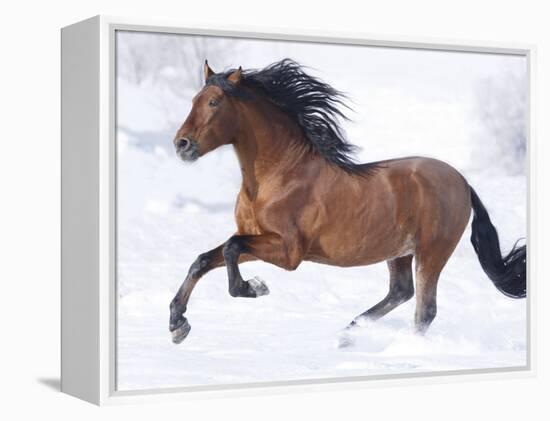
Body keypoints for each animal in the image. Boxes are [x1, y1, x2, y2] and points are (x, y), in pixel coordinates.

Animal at [167, 57, 528, 342]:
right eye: (195, 98)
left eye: (214, 102)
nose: (181, 144)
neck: (279, 176)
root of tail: (463, 182)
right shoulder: (258, 239)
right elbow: (204, 258)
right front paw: (177, 323)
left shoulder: (288, 251)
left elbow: (230, 247)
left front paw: (253, 288)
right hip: (400, 252)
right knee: (401, 292)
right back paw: (349, 333)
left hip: (432, 252)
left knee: (424, 310)